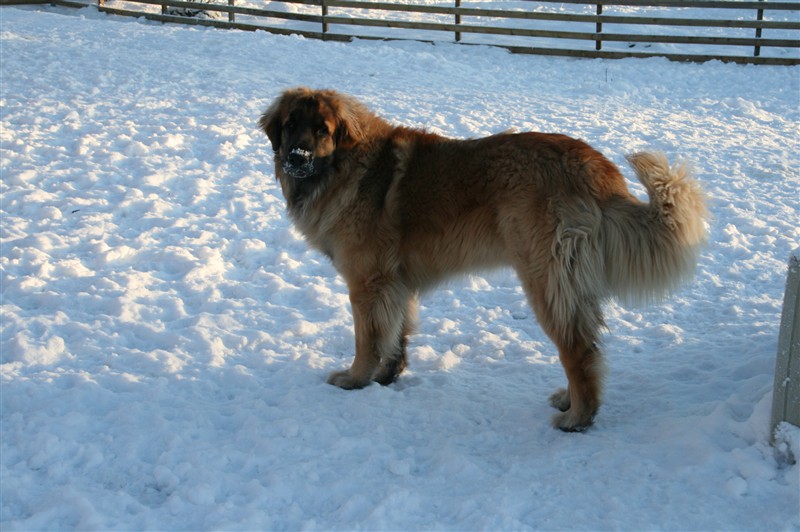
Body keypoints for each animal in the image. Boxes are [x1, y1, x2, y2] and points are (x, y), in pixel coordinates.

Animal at [258, 85, 708, 430]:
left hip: (545, 281)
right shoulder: (397, 281)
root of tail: (595, 168)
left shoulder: (367, 281)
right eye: (291, 125)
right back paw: (569, 402)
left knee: (578, 349)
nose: (296, 157)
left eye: (323, 129)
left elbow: (367, 338)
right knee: (586, 346)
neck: (343, 166)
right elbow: (397, 334)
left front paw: (355, 379)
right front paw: (387, 376)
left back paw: (577, 418)